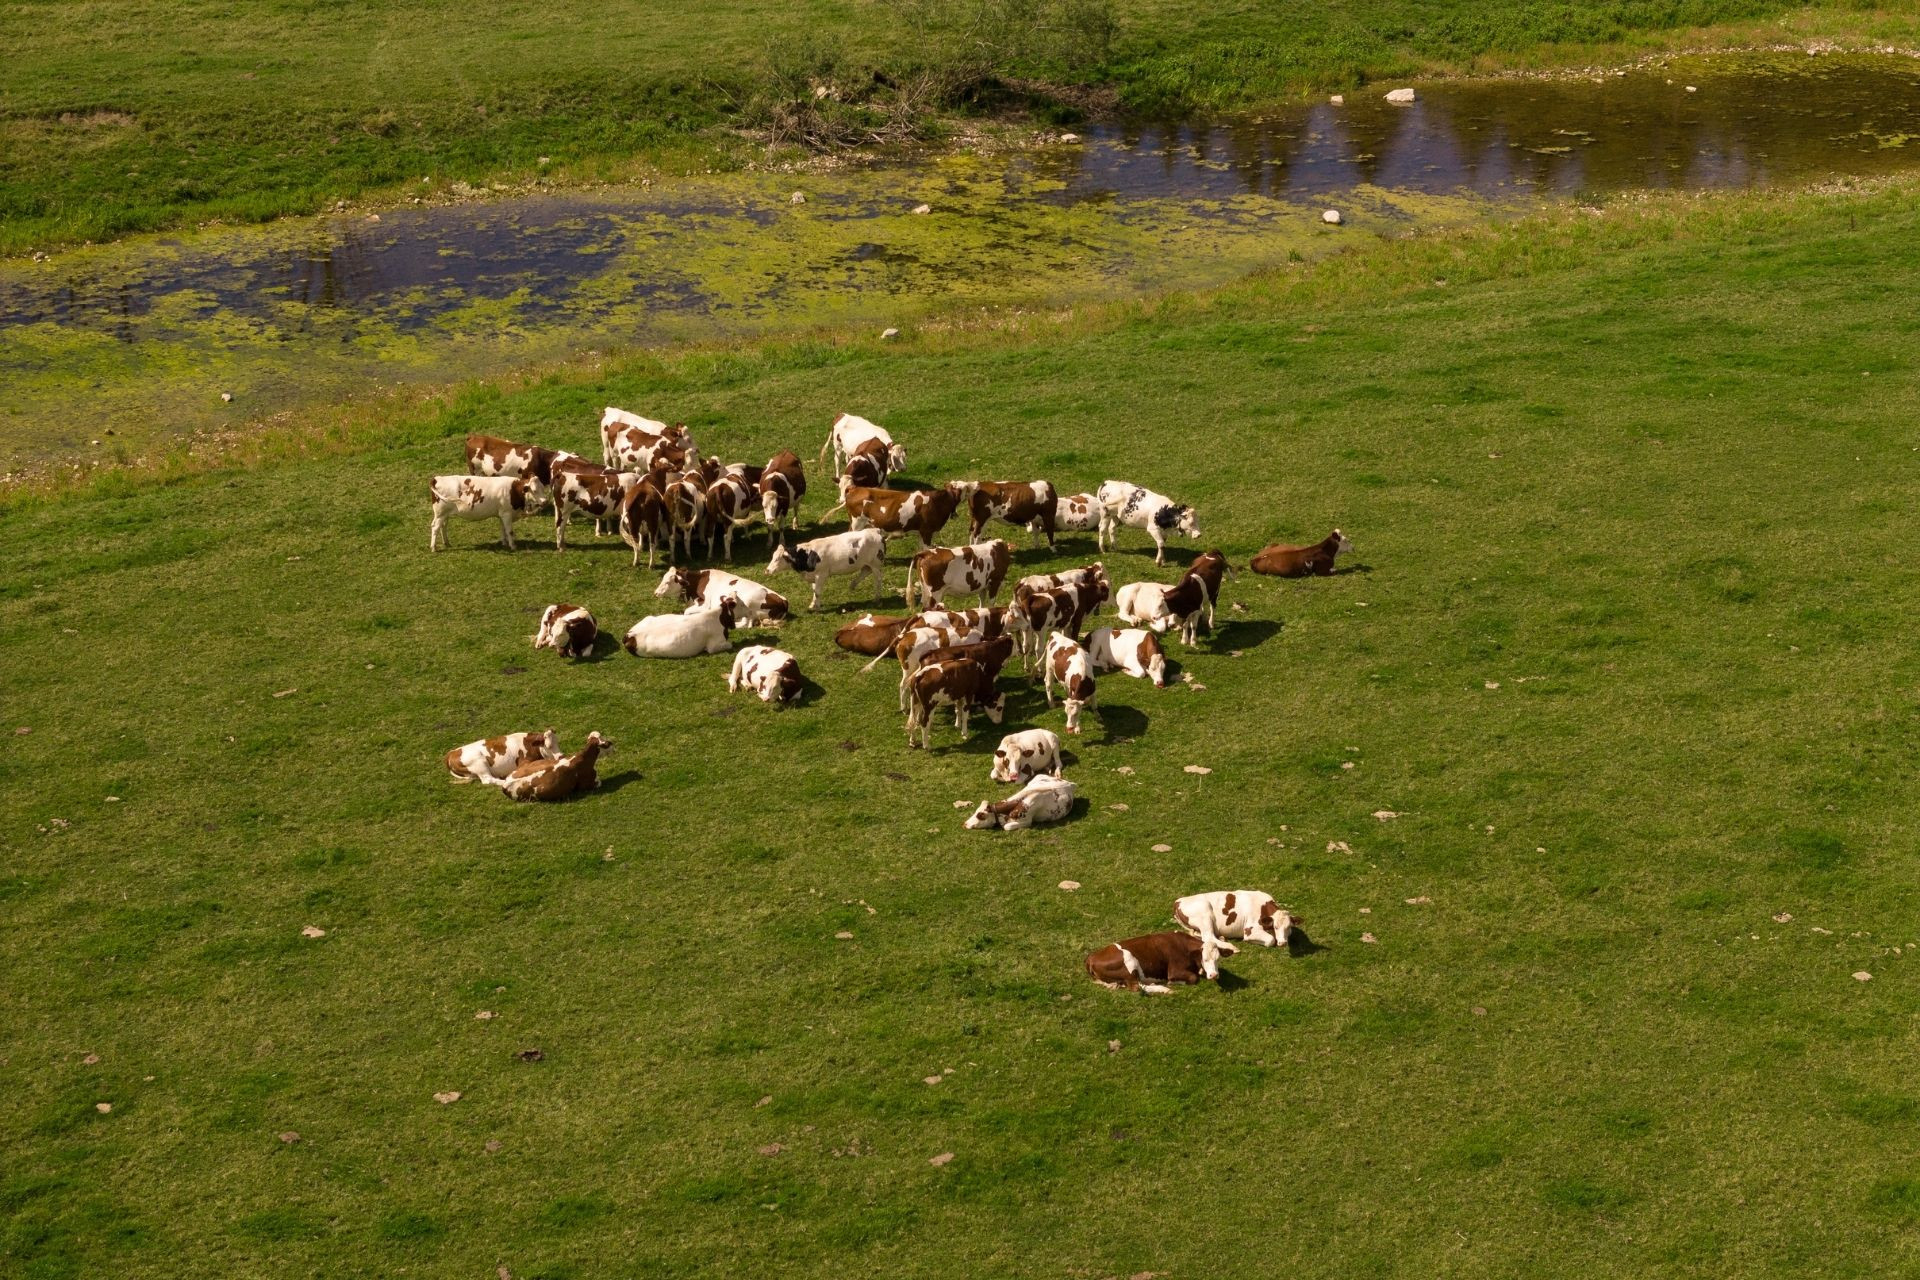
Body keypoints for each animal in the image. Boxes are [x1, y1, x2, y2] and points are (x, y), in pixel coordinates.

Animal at [653, 566, 789, 627]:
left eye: (668, 582)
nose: (655, 593)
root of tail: (783, 600)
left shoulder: (705, 604)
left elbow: (686, 612)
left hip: (749, 605)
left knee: (747, 623)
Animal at [1085, 932, 1221, 994]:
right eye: (1205, 959)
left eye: (1217, 959)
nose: (1214, 975)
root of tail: (1091, 957)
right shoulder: (1174, 971)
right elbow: (1193, 978)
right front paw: (1173, 983)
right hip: (1129, 962)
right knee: (1136, 987)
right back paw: (1165, 989)